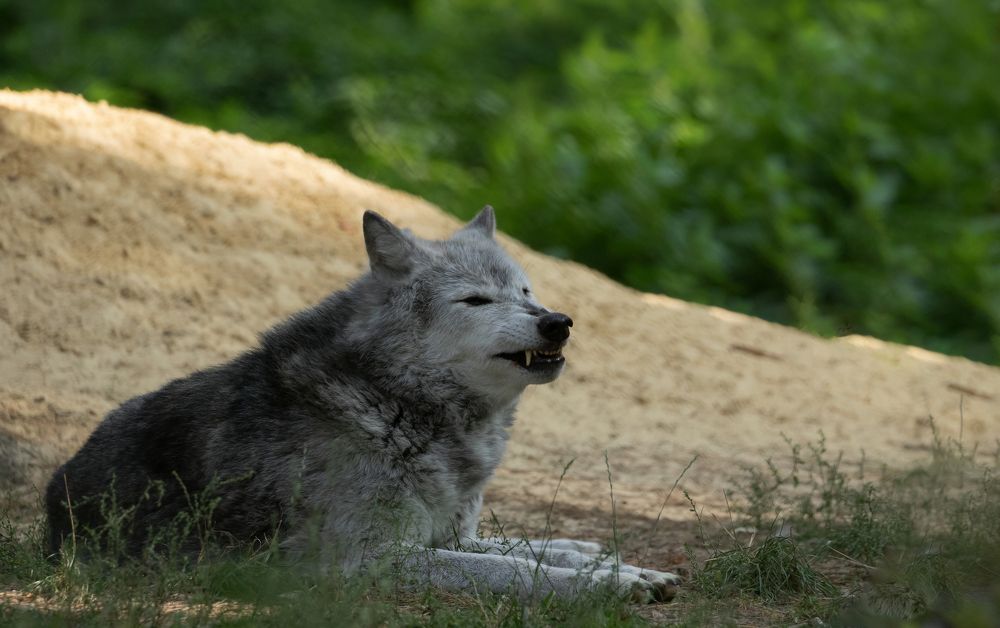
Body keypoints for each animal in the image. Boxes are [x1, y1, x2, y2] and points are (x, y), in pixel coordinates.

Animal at [45, 206, 679, 602]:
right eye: (476, 300)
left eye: (526, 292)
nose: (558, 322)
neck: (399, 403)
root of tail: (57, 490)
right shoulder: (377, 558)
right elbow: (519, 567)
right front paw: (608, 586)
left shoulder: (449, 536)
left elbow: (537, 551)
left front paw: (630, 567)